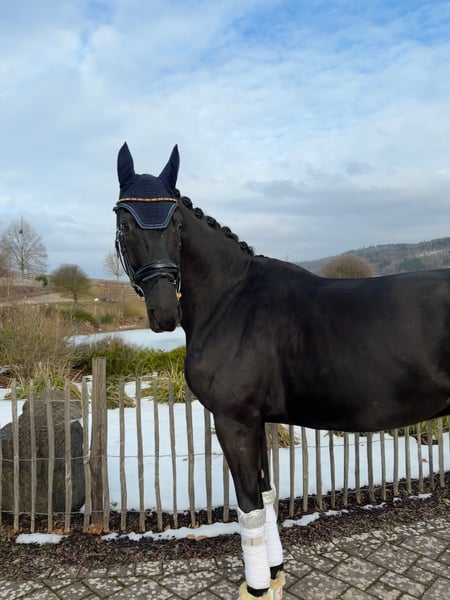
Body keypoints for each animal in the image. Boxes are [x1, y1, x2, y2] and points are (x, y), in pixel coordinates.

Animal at [114, 143, 450, 599]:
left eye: (177, 222)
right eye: (125, 221)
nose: (165, 311)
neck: (232, 299)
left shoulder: (233, 421)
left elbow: (249, 506)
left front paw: (255, 588)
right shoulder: (254, 421)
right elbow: (266, 495)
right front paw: (274, 574)